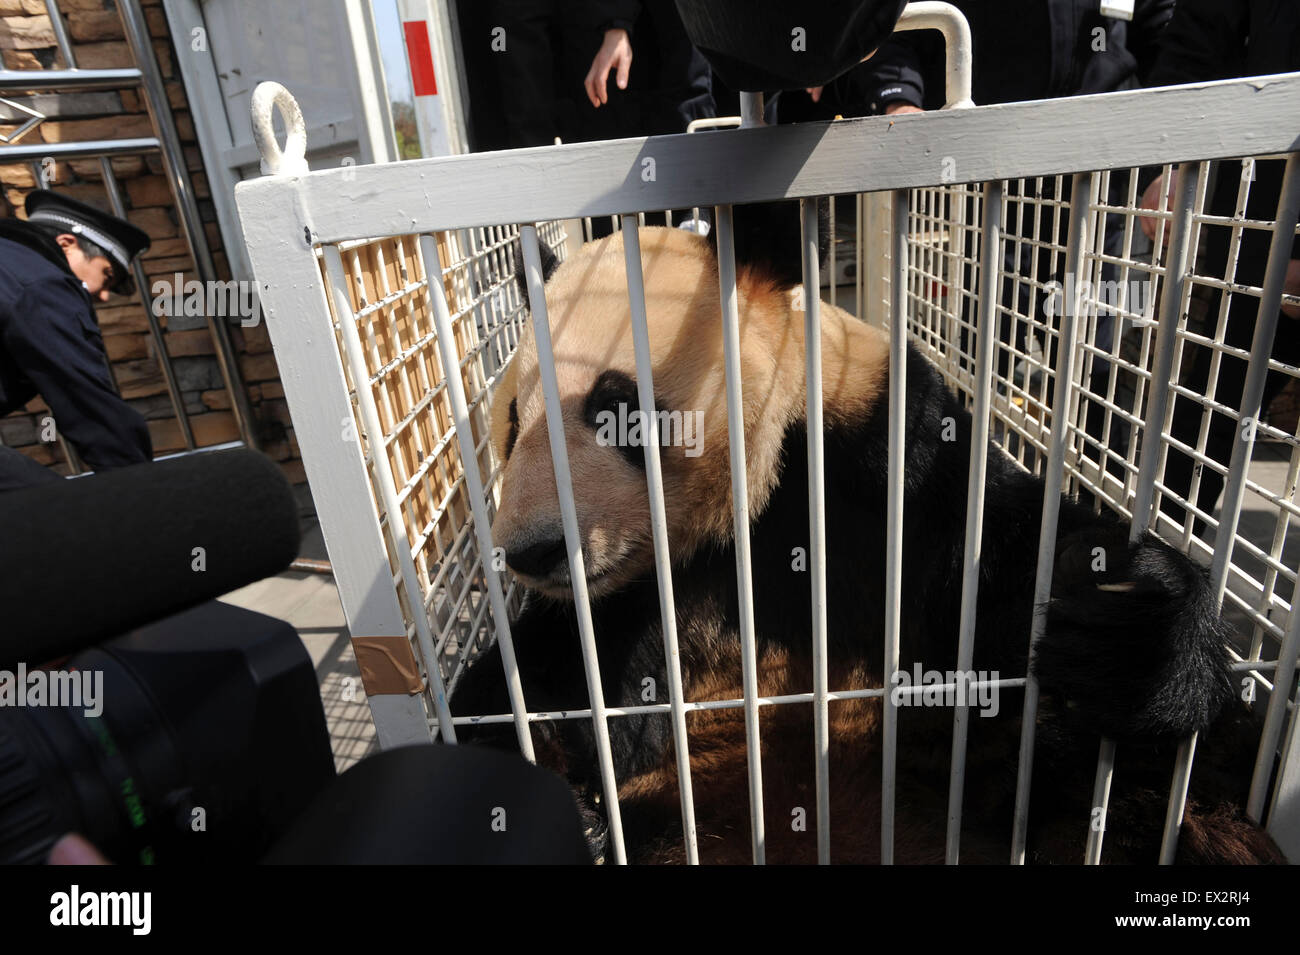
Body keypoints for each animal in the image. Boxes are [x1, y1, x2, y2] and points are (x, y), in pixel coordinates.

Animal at [452, 216, 1284, 867]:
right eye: (512, 421)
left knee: (1158, 776)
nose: (530, 550)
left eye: (616, 408)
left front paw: (1131, 626)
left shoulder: (882, 451)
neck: (745, 507)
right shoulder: (628, 606)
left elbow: (1001, 562)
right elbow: (544, 689)